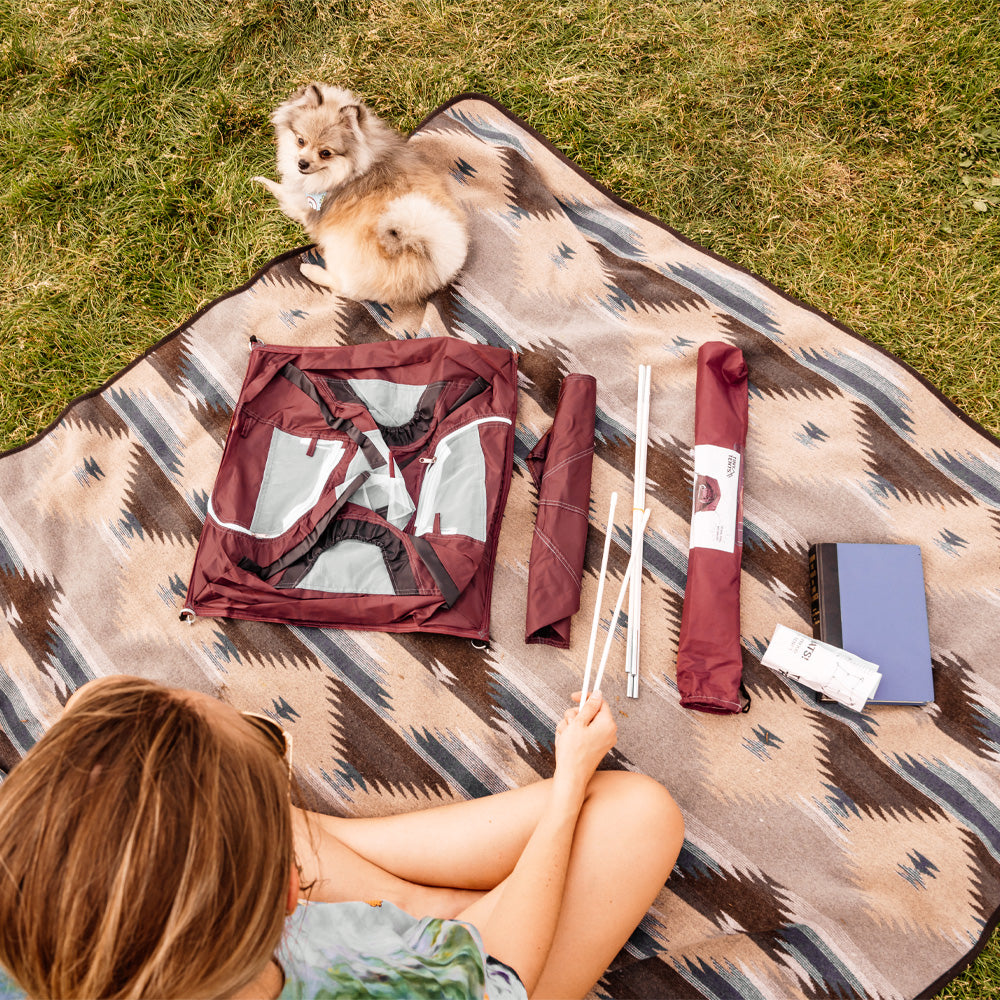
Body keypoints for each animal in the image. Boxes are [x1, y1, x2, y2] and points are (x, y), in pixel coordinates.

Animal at [250, 84, 468, 302]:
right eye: (301, 141)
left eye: (325, 153)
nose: (302, 163)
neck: (346, 172)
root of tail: (417, 248)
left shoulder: (301, 204)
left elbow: (280, 189)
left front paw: (259, 182)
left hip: (337, 247)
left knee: (342, 287)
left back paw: (310, 270)